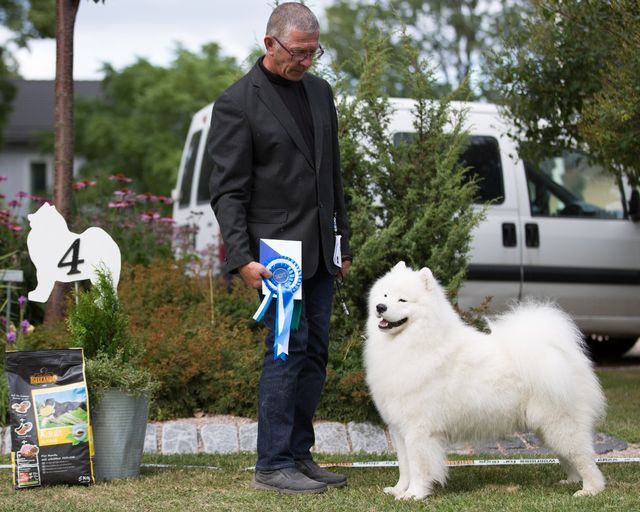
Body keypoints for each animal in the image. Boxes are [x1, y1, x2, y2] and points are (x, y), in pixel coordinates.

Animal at [364, 264, 604, 500]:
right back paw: (571, 481)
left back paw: (590, 489)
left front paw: (414, 494)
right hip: (546, 429)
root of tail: (565, 353)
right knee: (568, 457)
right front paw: (398, 490)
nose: (380, 307)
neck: (416, 342)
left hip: (560, 424)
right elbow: (404, 467)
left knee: (584, 457)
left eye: (402, 300)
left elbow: (418, 467)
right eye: (385, 294)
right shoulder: (399, 429)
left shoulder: (418, 430)